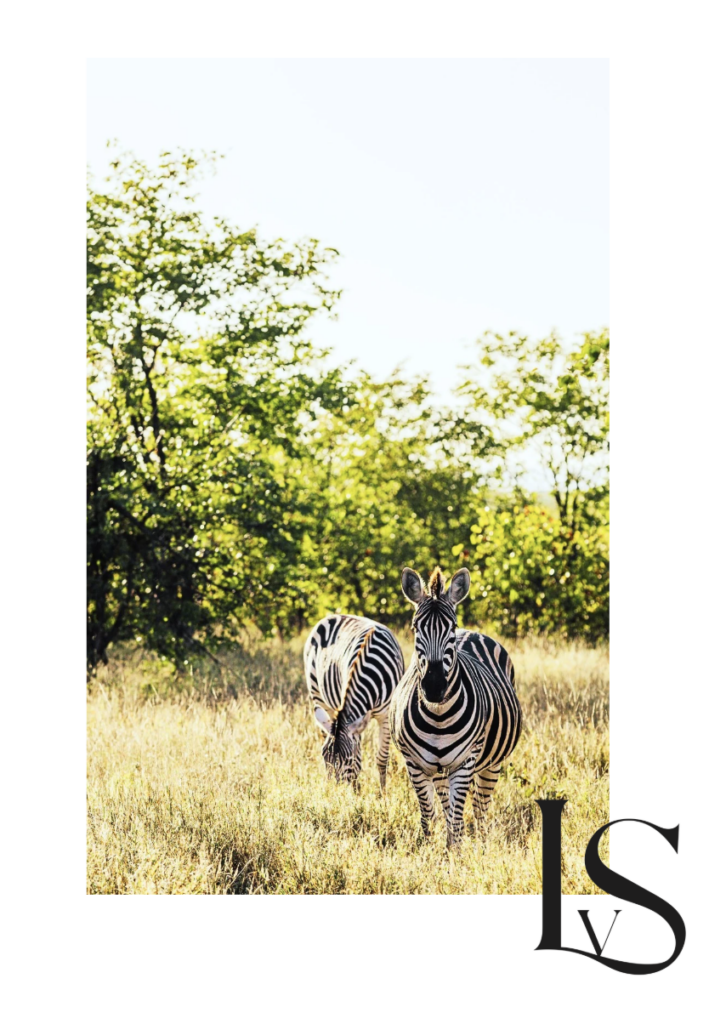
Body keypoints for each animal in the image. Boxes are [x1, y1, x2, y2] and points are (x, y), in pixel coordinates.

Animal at [304, 614, 405, 790]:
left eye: (346, 760)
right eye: (324, 758)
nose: (331, 793)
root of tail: (332, 615)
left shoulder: (385, 716)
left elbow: (381, 759)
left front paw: (383, 793)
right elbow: (358, 757)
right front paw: (356, 790)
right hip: (319, 697)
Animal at [390, 566, 522, 848]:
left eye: (451, 627)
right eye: (416, 627)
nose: (434, 686)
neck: (438, 718)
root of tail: (472, 632)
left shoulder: (465, 762)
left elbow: (457, 820)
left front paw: (455, 854)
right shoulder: (414, 764)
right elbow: (429, 817)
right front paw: (430, 852)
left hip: (490, 764)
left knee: (480, 807)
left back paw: (482, 843)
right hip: (440, 770)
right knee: (447, 804)